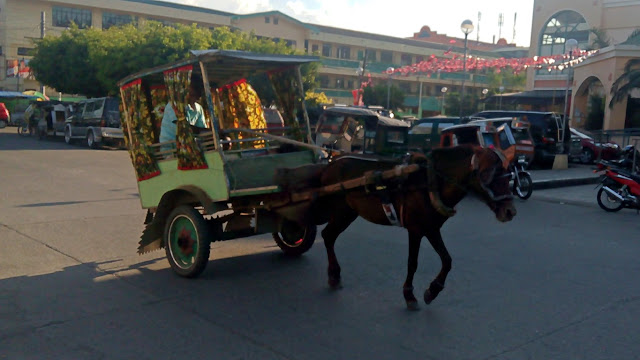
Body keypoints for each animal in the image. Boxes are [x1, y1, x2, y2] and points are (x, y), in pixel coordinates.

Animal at [312, 146, 516, 310]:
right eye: (489, 174)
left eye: (509, 175)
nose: (510, 211)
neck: (431, 183)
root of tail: (329, 165)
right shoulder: (416, 229)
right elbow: (413, 263)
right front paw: (409, 295)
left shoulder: (432, 228)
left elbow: (447, 260)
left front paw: (433, 290)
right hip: (341, 212)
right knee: (328, 235)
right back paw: (333, 275)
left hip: (348, 213)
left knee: (328, 236)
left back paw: (334, 275)